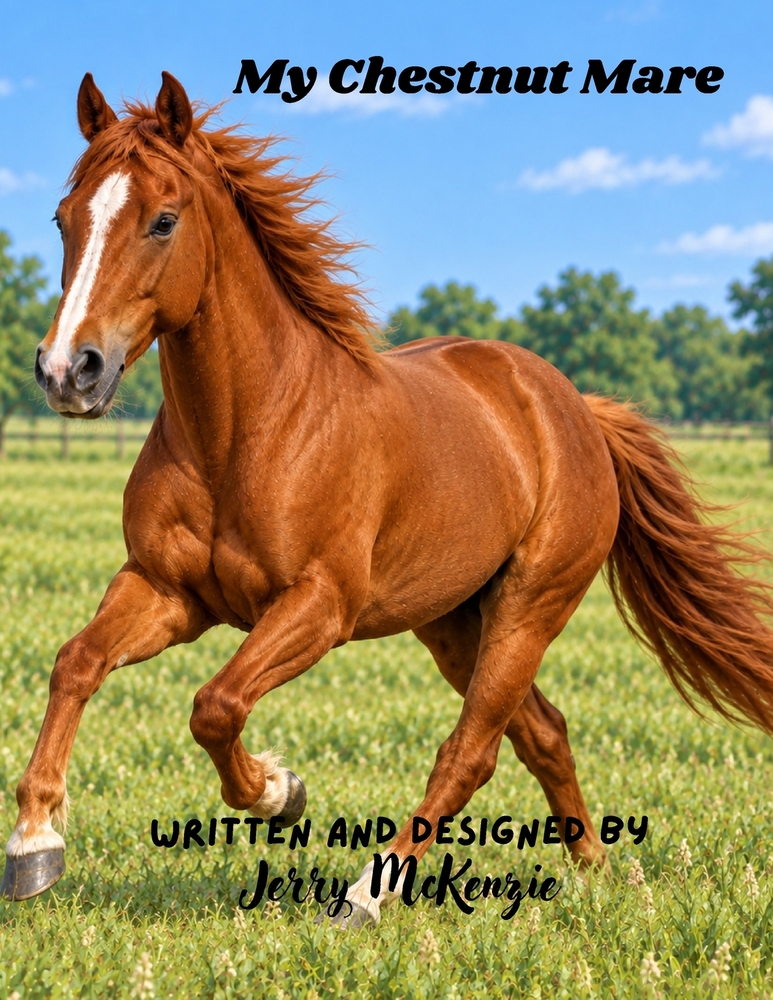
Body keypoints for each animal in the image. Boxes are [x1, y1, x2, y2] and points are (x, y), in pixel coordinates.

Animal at [4, 71, 773, 925]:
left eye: (163, 220)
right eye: (64, 218)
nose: (68, 370)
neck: (247, 432)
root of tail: (574, 407)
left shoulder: (318, 607)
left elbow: (216, 705)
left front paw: (280, 791)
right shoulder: (167, 590)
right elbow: (76, 663)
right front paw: (34, 846)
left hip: (531, 606)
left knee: (471, 751)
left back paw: (368, 893)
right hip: (453, 621)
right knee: (541, 732)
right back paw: (598, 875)